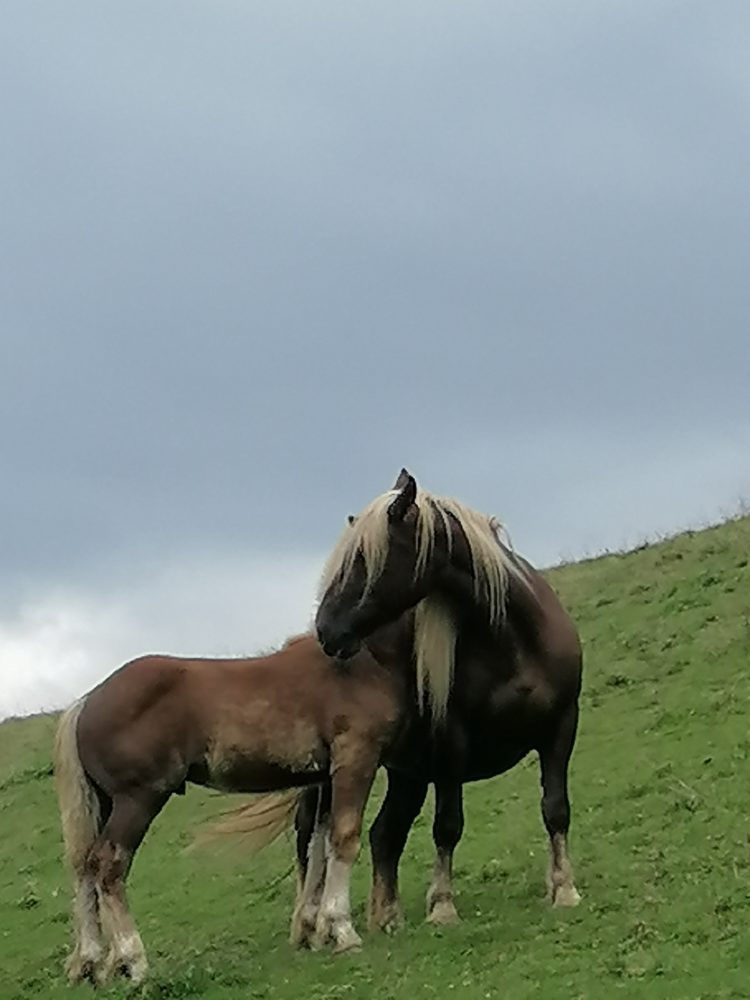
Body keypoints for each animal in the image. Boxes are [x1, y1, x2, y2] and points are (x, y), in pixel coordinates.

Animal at [54, 632, 412, 984]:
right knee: (108, 864)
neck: (364, 660)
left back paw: (92, 961)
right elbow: (343, 839)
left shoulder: (324, 778)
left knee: (85, 864)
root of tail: (87, 702)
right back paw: (134, 961)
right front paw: (343, 931)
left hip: (104, 803)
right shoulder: (356, 759)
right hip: (137, 801)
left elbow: (317, 845)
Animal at [312, 468, 588, 928]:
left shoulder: (560, 728)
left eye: (364, 558)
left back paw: (387, 918)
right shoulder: (451, 747)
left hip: (407, 774)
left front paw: (564, 888)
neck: (513, 639)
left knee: (385, 834)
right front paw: (442, 904)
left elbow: (556, 808)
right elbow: (448, 825)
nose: (326, 630)